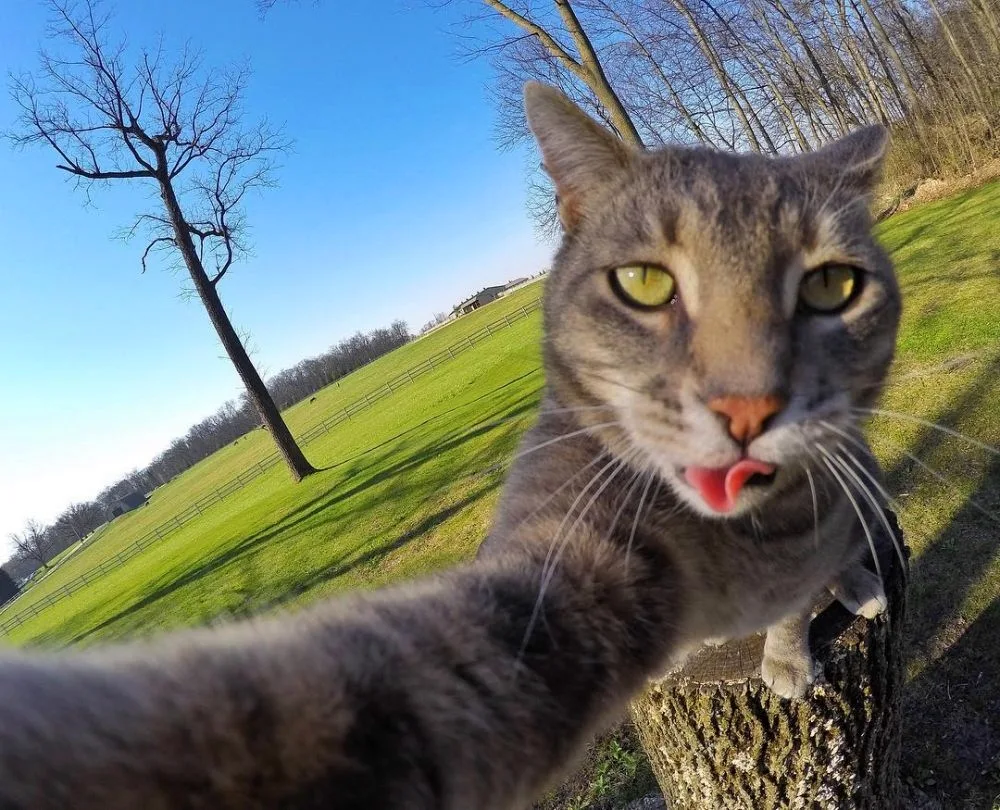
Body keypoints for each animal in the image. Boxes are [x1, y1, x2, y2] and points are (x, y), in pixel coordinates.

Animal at [0, 83, 900, 808]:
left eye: (831, 285)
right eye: (645, 283)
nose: (747, 404)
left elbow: (795, 602)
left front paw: (789, 650)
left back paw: (859, 585)